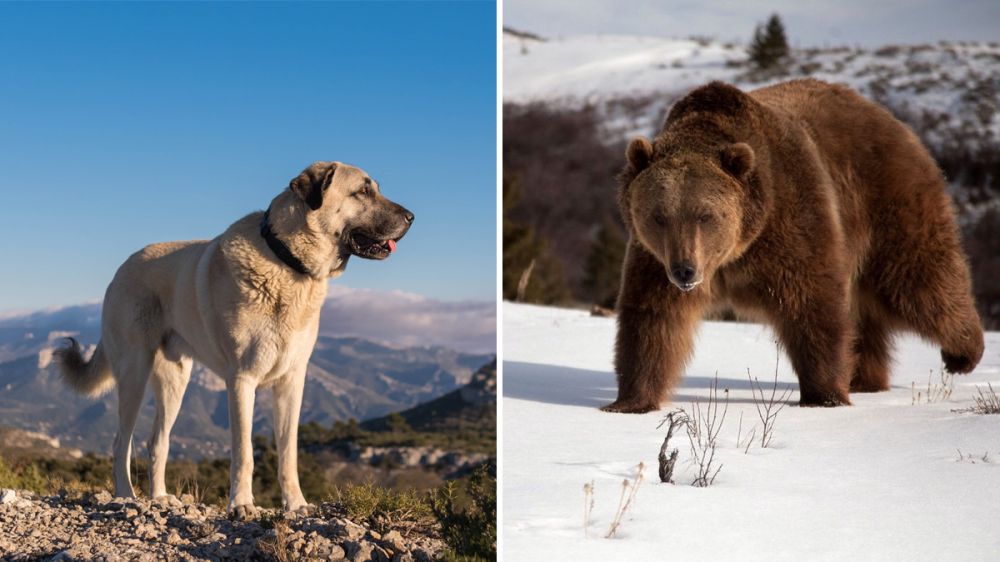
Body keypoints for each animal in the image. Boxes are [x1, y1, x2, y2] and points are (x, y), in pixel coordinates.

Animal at [53, 160, 414, 516]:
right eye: (363, 191)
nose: (411, 217)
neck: (287, 263)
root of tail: (121, 268)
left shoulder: (291, 383)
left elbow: (288, 453)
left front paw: (296, 504)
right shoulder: (242, 380)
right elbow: (244, 452)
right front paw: (241, 504)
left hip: (175, 381)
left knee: (157, 441)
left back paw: (159, 497)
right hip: (134, 374)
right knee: (121, 443)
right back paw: (126, 495)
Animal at [600, 79, 984, 412]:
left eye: (706, 215)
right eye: (659, 216)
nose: (685, 271)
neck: (736, 251)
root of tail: (891, 120)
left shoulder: (790, 221)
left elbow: (811, 304)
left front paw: (824, 396)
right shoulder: (654, 258)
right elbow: (652, 318)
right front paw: (629, 402)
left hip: (887, 204)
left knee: (918, 279)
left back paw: (964, 353)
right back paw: (866, 379)